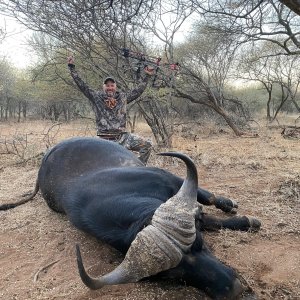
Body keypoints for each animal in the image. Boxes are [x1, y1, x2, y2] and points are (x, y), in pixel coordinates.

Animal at [0, 137, 260, 298]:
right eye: (176, 277)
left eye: (201, 244)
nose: (233, 289)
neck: (122, 192)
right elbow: (208, 219)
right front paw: (246, 221)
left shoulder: (171, 179)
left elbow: (208, 199)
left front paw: (238, 213)